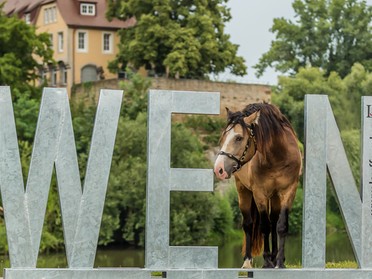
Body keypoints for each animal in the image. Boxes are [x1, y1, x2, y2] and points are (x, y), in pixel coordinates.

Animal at [212, 104, 302, 270]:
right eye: (223, 137)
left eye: (239, 137)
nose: (219, 169)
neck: (278, 156)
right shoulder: (260, 194)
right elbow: (264, 226)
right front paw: (266, 261)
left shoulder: (289, 192)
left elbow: (281, 226)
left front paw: (280, 262)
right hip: (243, 191)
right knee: (248, 224)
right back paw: (247, 261)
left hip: (274, 196)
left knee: (273, 222)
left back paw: (274, 257)